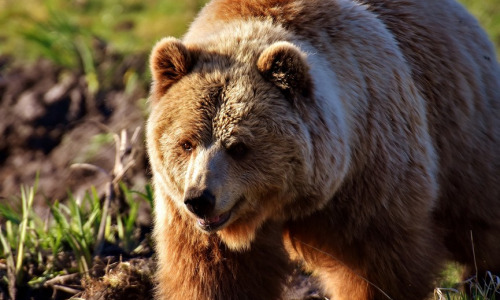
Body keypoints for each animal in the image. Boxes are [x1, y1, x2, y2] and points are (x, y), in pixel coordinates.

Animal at [146, 0, 500, 300]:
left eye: (239, 146)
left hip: (460, 130)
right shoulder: (186, 215)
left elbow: (375, 264)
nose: (200, 199)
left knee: (477, 218)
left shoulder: (369, 170)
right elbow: (214, 275)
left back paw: (484, 280)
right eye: (186, 143)